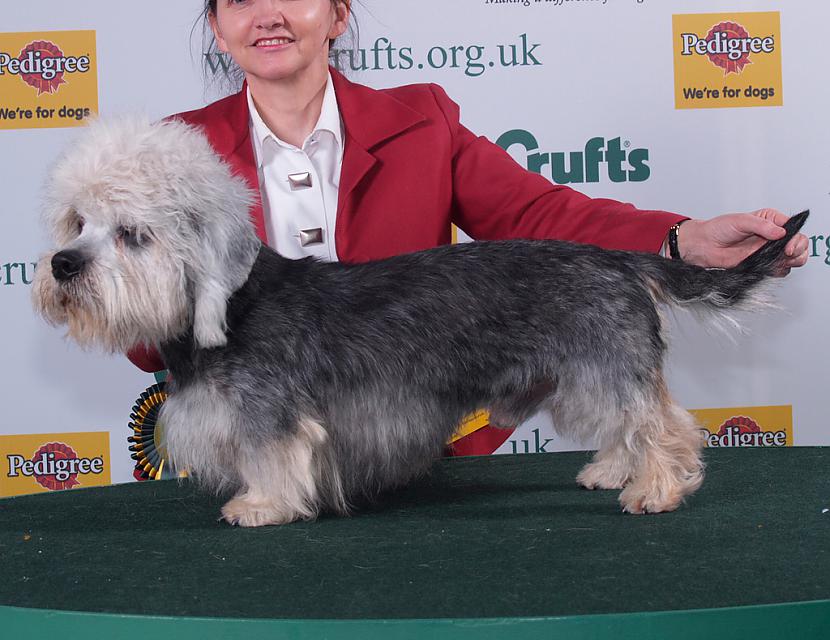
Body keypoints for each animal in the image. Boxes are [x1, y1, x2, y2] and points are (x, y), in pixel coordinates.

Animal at [32, 117, 808, 528]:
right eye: (76, 222)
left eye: (133, 235)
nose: (63, 265)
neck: (232, 306)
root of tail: (612, 257)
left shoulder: (269, 415)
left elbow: (272, 456)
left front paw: (261, 504)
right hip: (584, 375)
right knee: (628, 422)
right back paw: (611, 471)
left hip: (606, 364)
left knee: (662, 424)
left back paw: (657, 488)